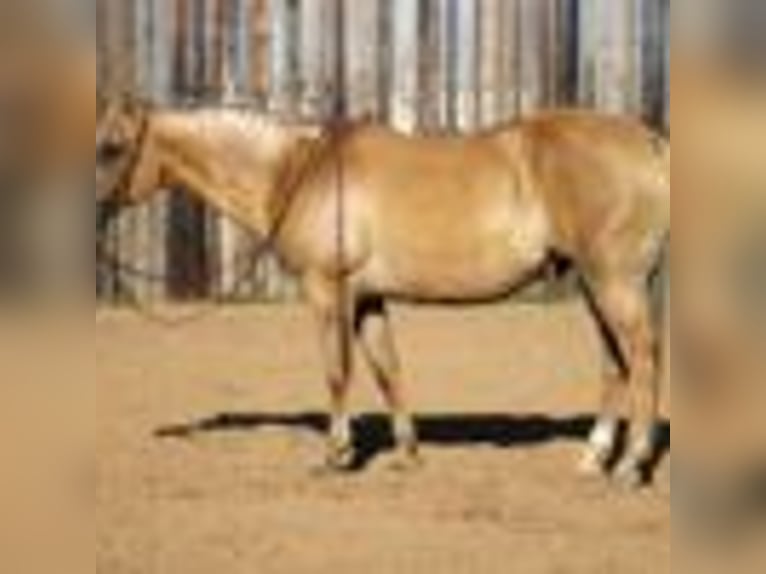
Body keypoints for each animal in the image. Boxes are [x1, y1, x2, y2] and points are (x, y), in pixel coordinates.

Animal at [97, 101, 672, 488]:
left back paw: (630, 465)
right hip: (595, 283)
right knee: (615, 363)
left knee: (642, 357)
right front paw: (407, 455)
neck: (296, 171)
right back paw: (593, 458)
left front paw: (336, 454)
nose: (94, 212)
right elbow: (387, 370)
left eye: (112, 147)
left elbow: (337, 372)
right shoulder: (368, 299)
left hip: (614, 281)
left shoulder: (327, 290)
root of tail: (648, 142)